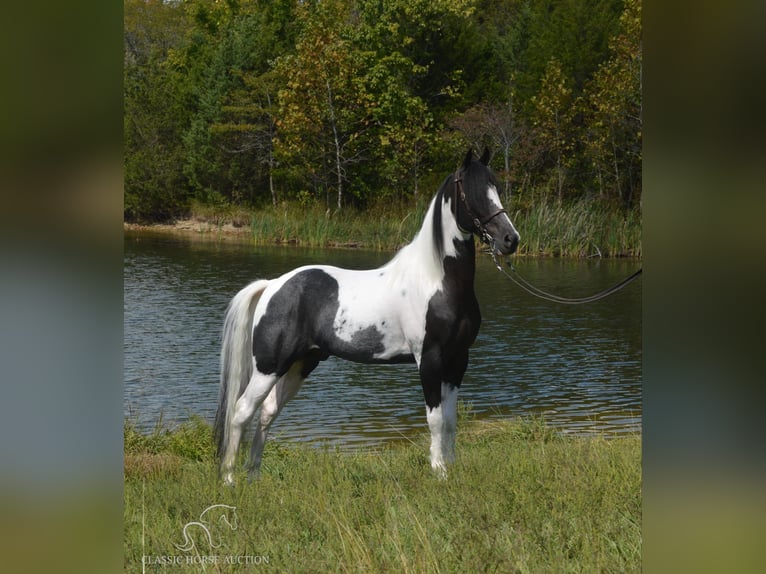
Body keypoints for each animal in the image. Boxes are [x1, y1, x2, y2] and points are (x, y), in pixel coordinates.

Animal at [213, 150, 520, 486]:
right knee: (242, 411)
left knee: (267, 412)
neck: (436, 280)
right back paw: (229, 480)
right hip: (269, 366)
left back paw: (253, 475)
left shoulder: (458, 360)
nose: (510, 239)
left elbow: (451, 419)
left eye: (496, 187)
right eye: (473, 193)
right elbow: (436, 419)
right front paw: (439, 472)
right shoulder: (429, 360)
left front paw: (450, 468)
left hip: (301, 363)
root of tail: (273, 285)